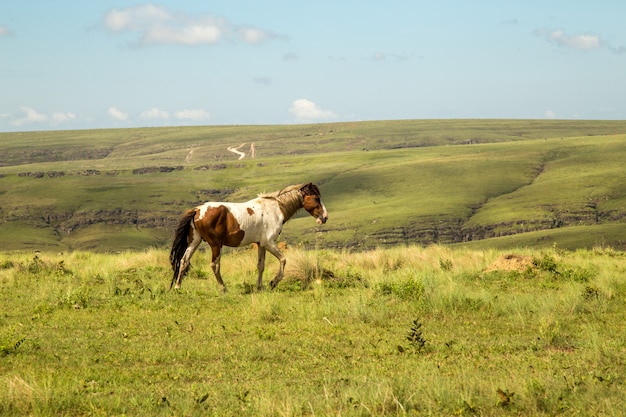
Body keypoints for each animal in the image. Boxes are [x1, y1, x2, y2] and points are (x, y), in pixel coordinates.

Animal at [168, 184, 330, 290]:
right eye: (316, 198)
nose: (325, 217)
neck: (275, 209)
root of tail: (197, 210)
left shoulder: (261, 244)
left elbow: (261, 266)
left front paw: (260, 287)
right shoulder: (269, 243)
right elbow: (283, 260)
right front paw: (273, 282)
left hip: (194, 242)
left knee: (183, 261)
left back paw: (177, 287)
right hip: (215, 245)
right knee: (215, 265)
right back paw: (223, 288)